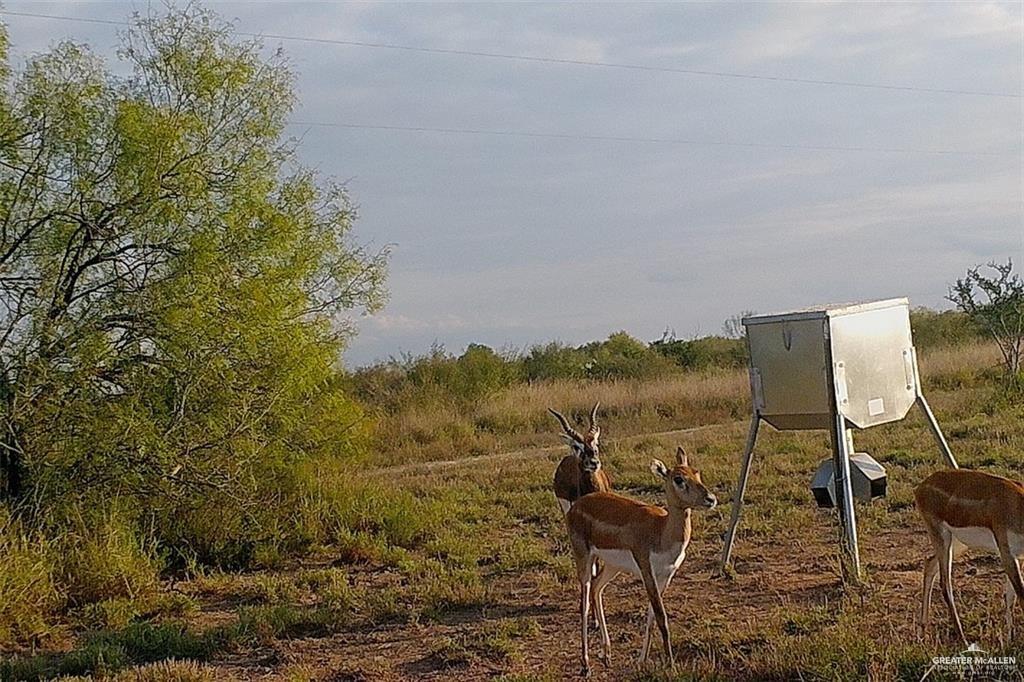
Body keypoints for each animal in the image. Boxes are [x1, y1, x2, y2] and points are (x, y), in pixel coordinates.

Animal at [565, 444, 716, 671]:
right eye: (678, 479)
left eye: (696, 472)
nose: (711, 499)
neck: (661, 531)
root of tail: (575, 506)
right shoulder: (647, 571)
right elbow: (661, 617)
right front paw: (671, 665)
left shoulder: (666, 576)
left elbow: (652, 616)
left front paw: (642, 660)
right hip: (583, 556)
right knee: (584, 600)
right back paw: (586, 664)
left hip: (612, 566)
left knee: (597, 588)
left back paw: (607, 655)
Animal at [913, 466, 1024, 643]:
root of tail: (922, 486)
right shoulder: (1007, 553)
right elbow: (1020, 595)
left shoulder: (1018, 557)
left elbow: (1010, 597)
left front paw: (1009, 640)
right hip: (942, 538)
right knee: (945, 585)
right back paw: (963, 639)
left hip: (958, 544)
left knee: (929, 564)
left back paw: (923, 631)